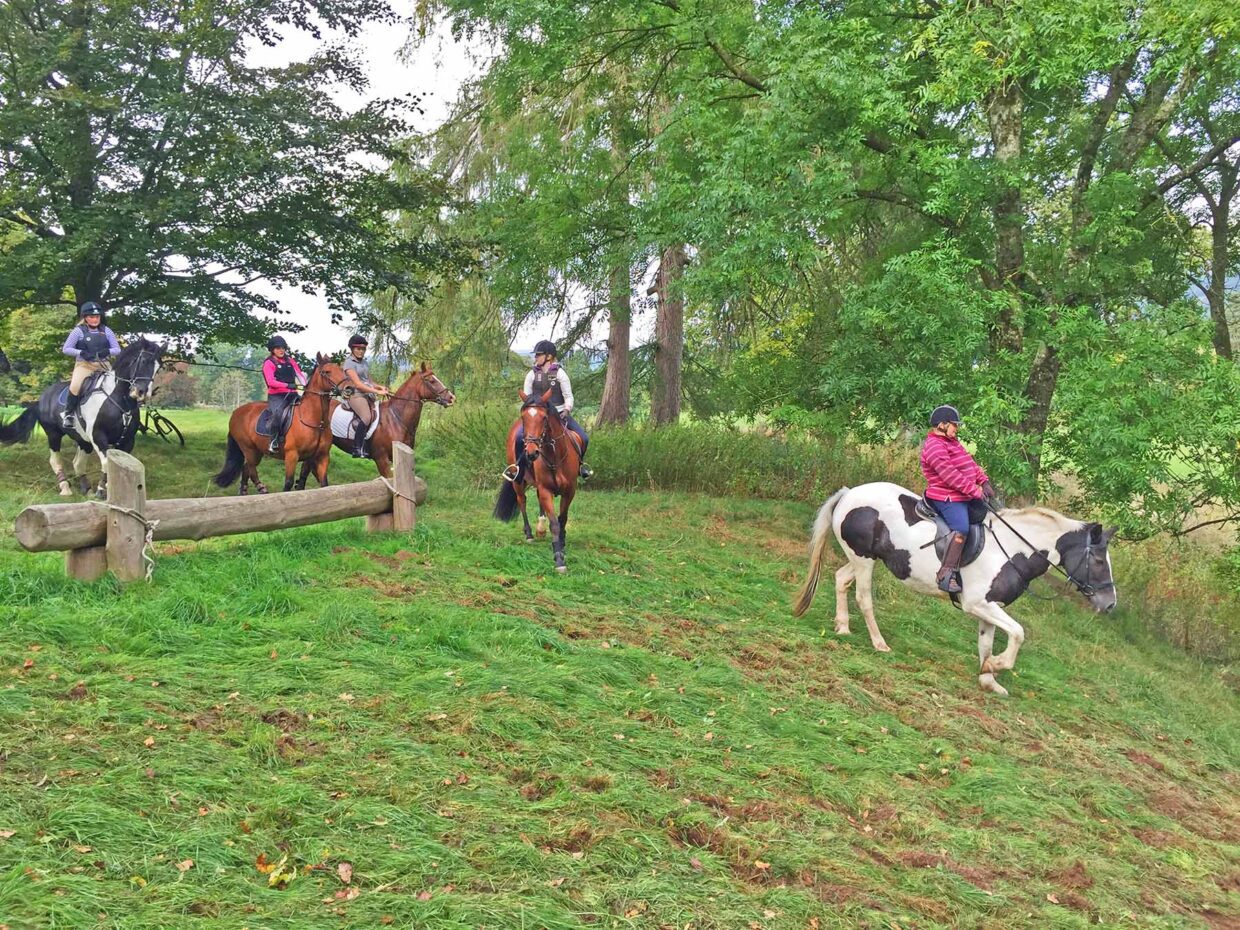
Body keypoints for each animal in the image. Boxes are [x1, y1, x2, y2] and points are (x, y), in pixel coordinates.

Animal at [0, 334, 163, 496]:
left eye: (158, 368)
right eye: (143, 361)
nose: (142, 393)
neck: (120, 400)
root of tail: (41, 399)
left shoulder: (127, 441)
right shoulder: (98, 436)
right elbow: (106, 463)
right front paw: (102, 490)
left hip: (83, 439)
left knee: (77, 463)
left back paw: (86, 488)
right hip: (54, 434)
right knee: (55, 460)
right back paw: (65, 487)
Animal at [213, 352, 347, 496]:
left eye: (341, 370)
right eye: (327, 372)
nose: (348, 388)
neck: (316, 421)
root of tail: (235, 413)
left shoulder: (321, 457)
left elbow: (323, 484)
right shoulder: (292, 456)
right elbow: (288, 483)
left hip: (257, 450)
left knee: (246, 469)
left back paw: (244, 492)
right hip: (248, 449)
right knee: (251, 469)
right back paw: (261, 488)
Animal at [493, 389, 580, 572]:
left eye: (544, 418)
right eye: (524, 417)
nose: (531, 453)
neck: (555, 456)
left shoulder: (569, 491)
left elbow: (562, 519)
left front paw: (561, 543)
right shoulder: (546, 489)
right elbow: (554, 523)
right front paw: (559, 558)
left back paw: (540, 530)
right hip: (518, 481)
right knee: (522, 501)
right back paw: (530, 534)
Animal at [793, 483, 1125, 694]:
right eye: (1098, 560)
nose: (1109, 603)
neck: (1011, 548)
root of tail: (850, 494)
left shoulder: (990, 607)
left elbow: (986, 642)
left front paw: (989, 677)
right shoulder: (977, 603)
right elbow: (1018, 633)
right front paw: (998, 665)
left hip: (863, 558)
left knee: (841, 579)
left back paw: (843, 627)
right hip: (863, 560)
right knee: (863, 597)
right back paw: (879, 643)